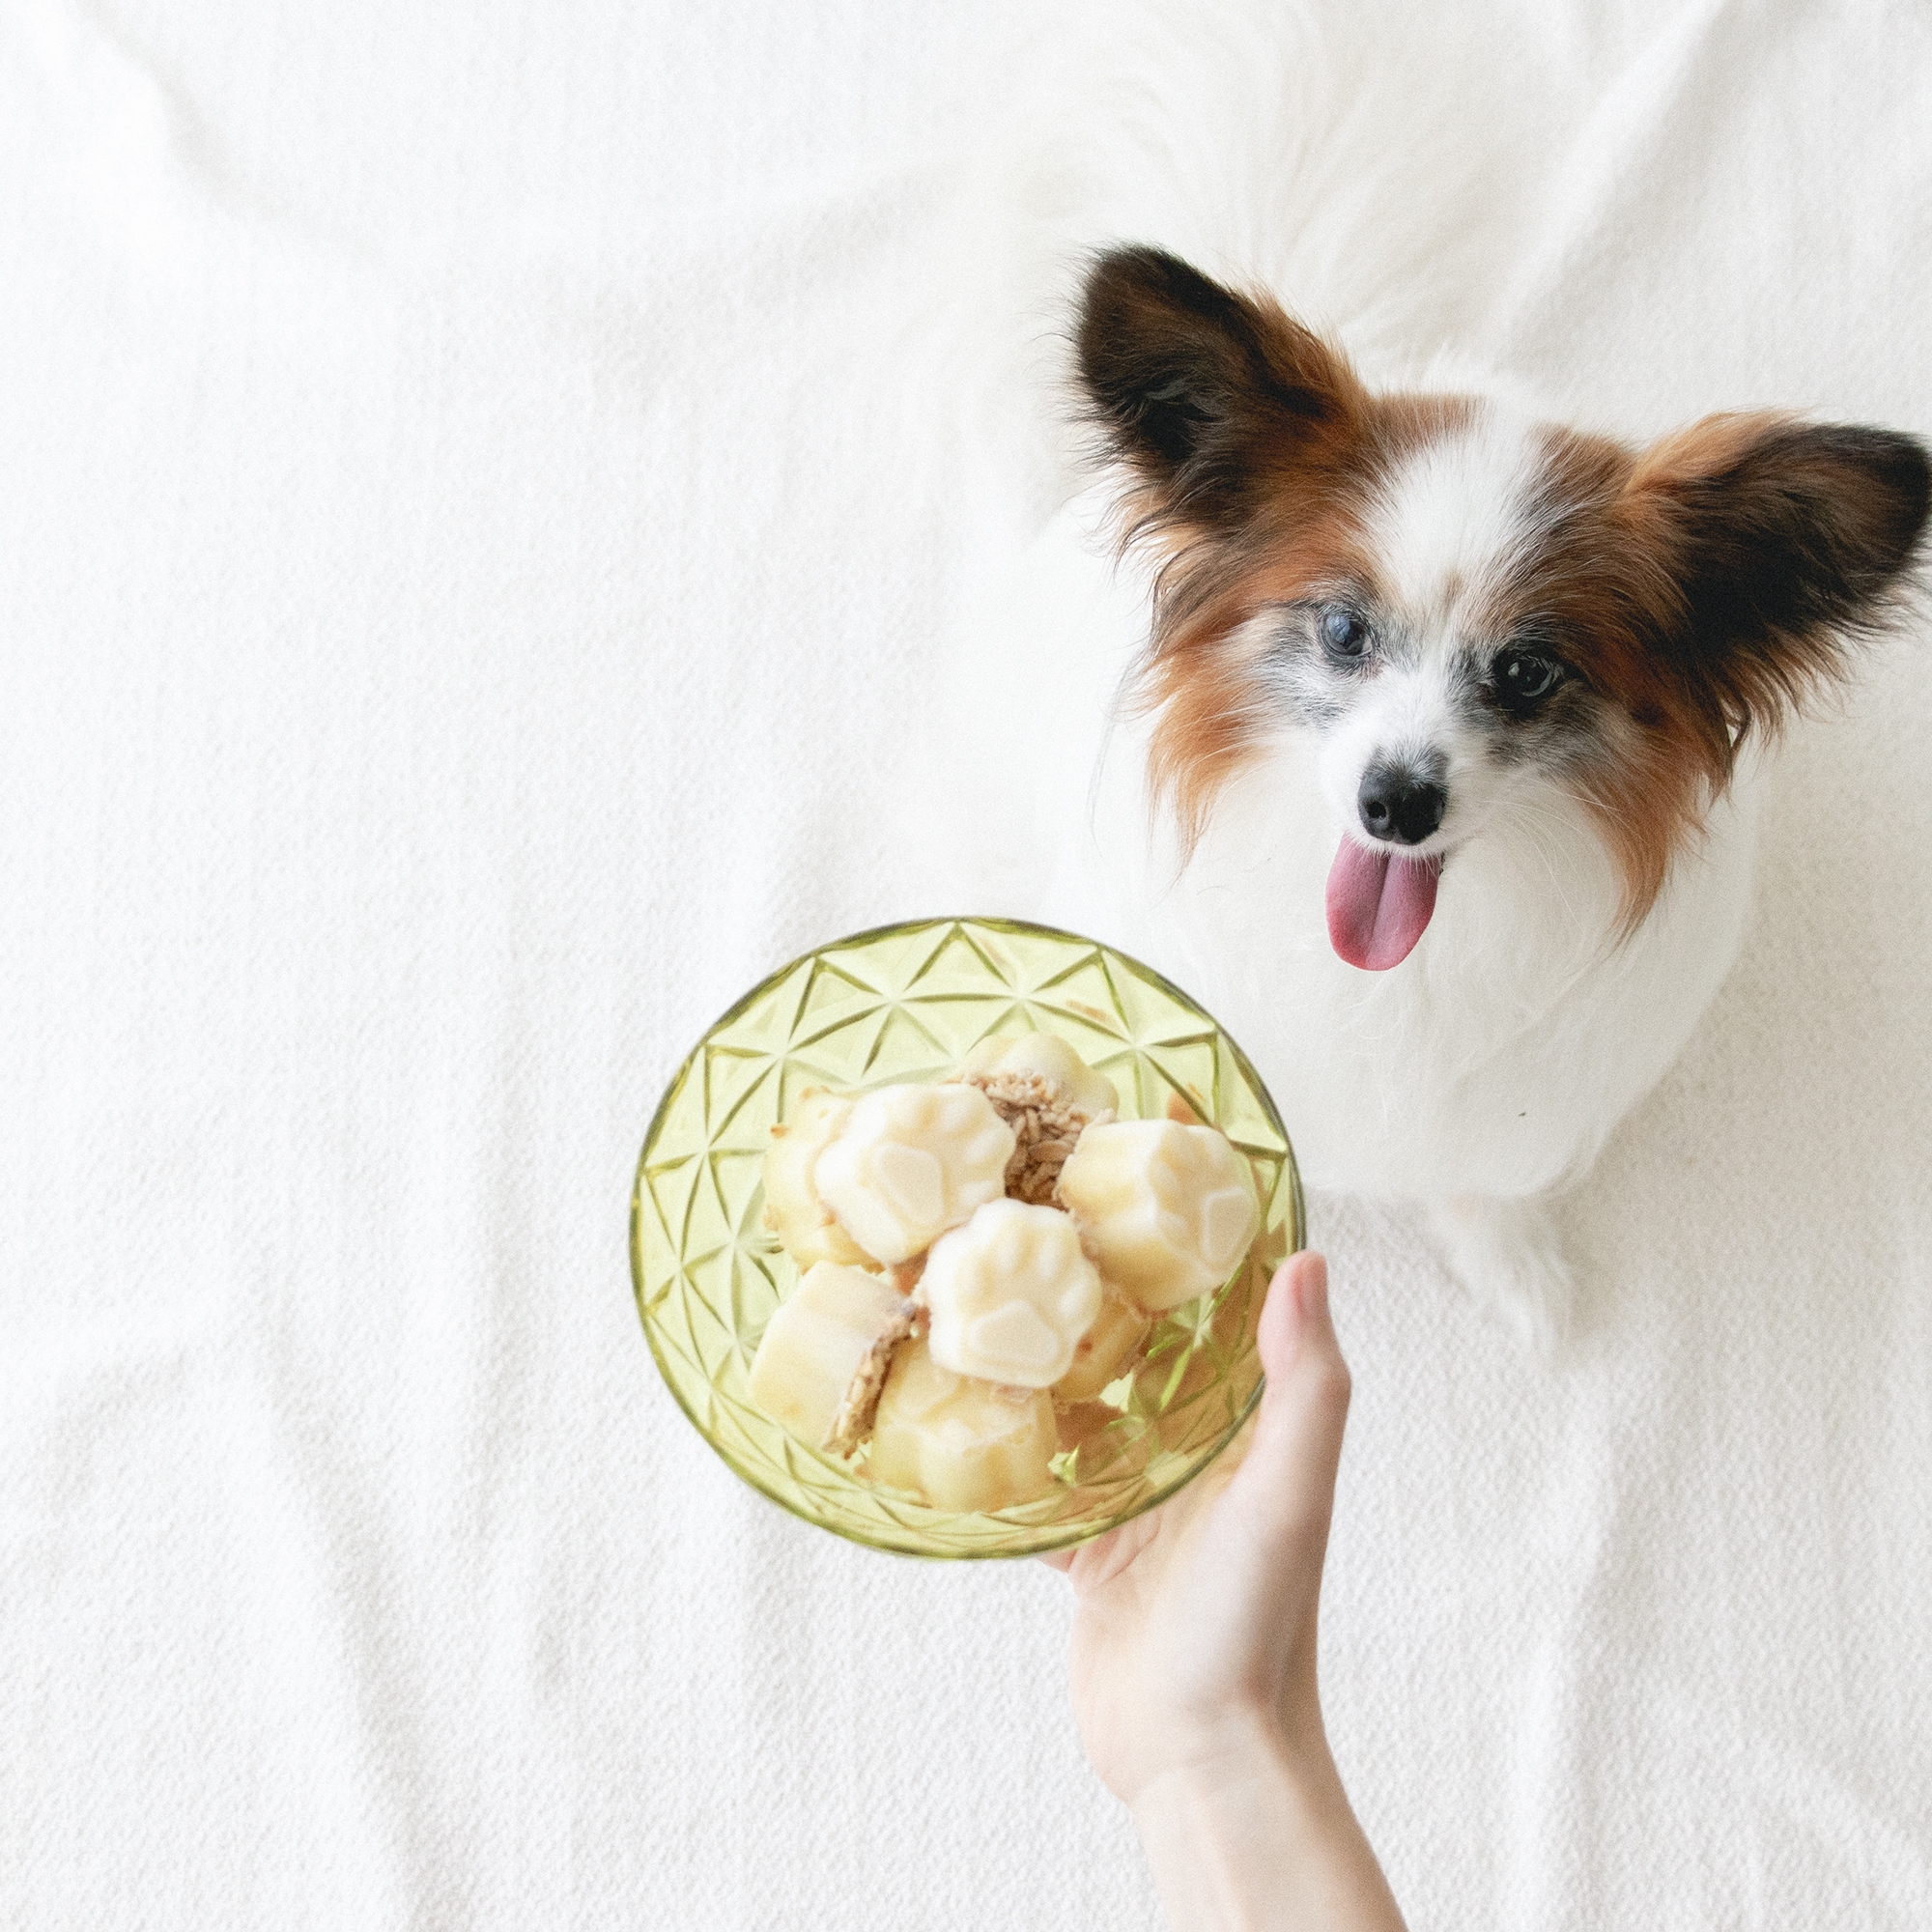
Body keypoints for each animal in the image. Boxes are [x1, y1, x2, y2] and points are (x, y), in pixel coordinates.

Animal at [1005, 249, 1924, 1345]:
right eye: (1343, 631)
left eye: (1527, 672)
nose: (1394, 805)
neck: (1403, 967)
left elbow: (1481, 1182)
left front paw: (1515, 1268)